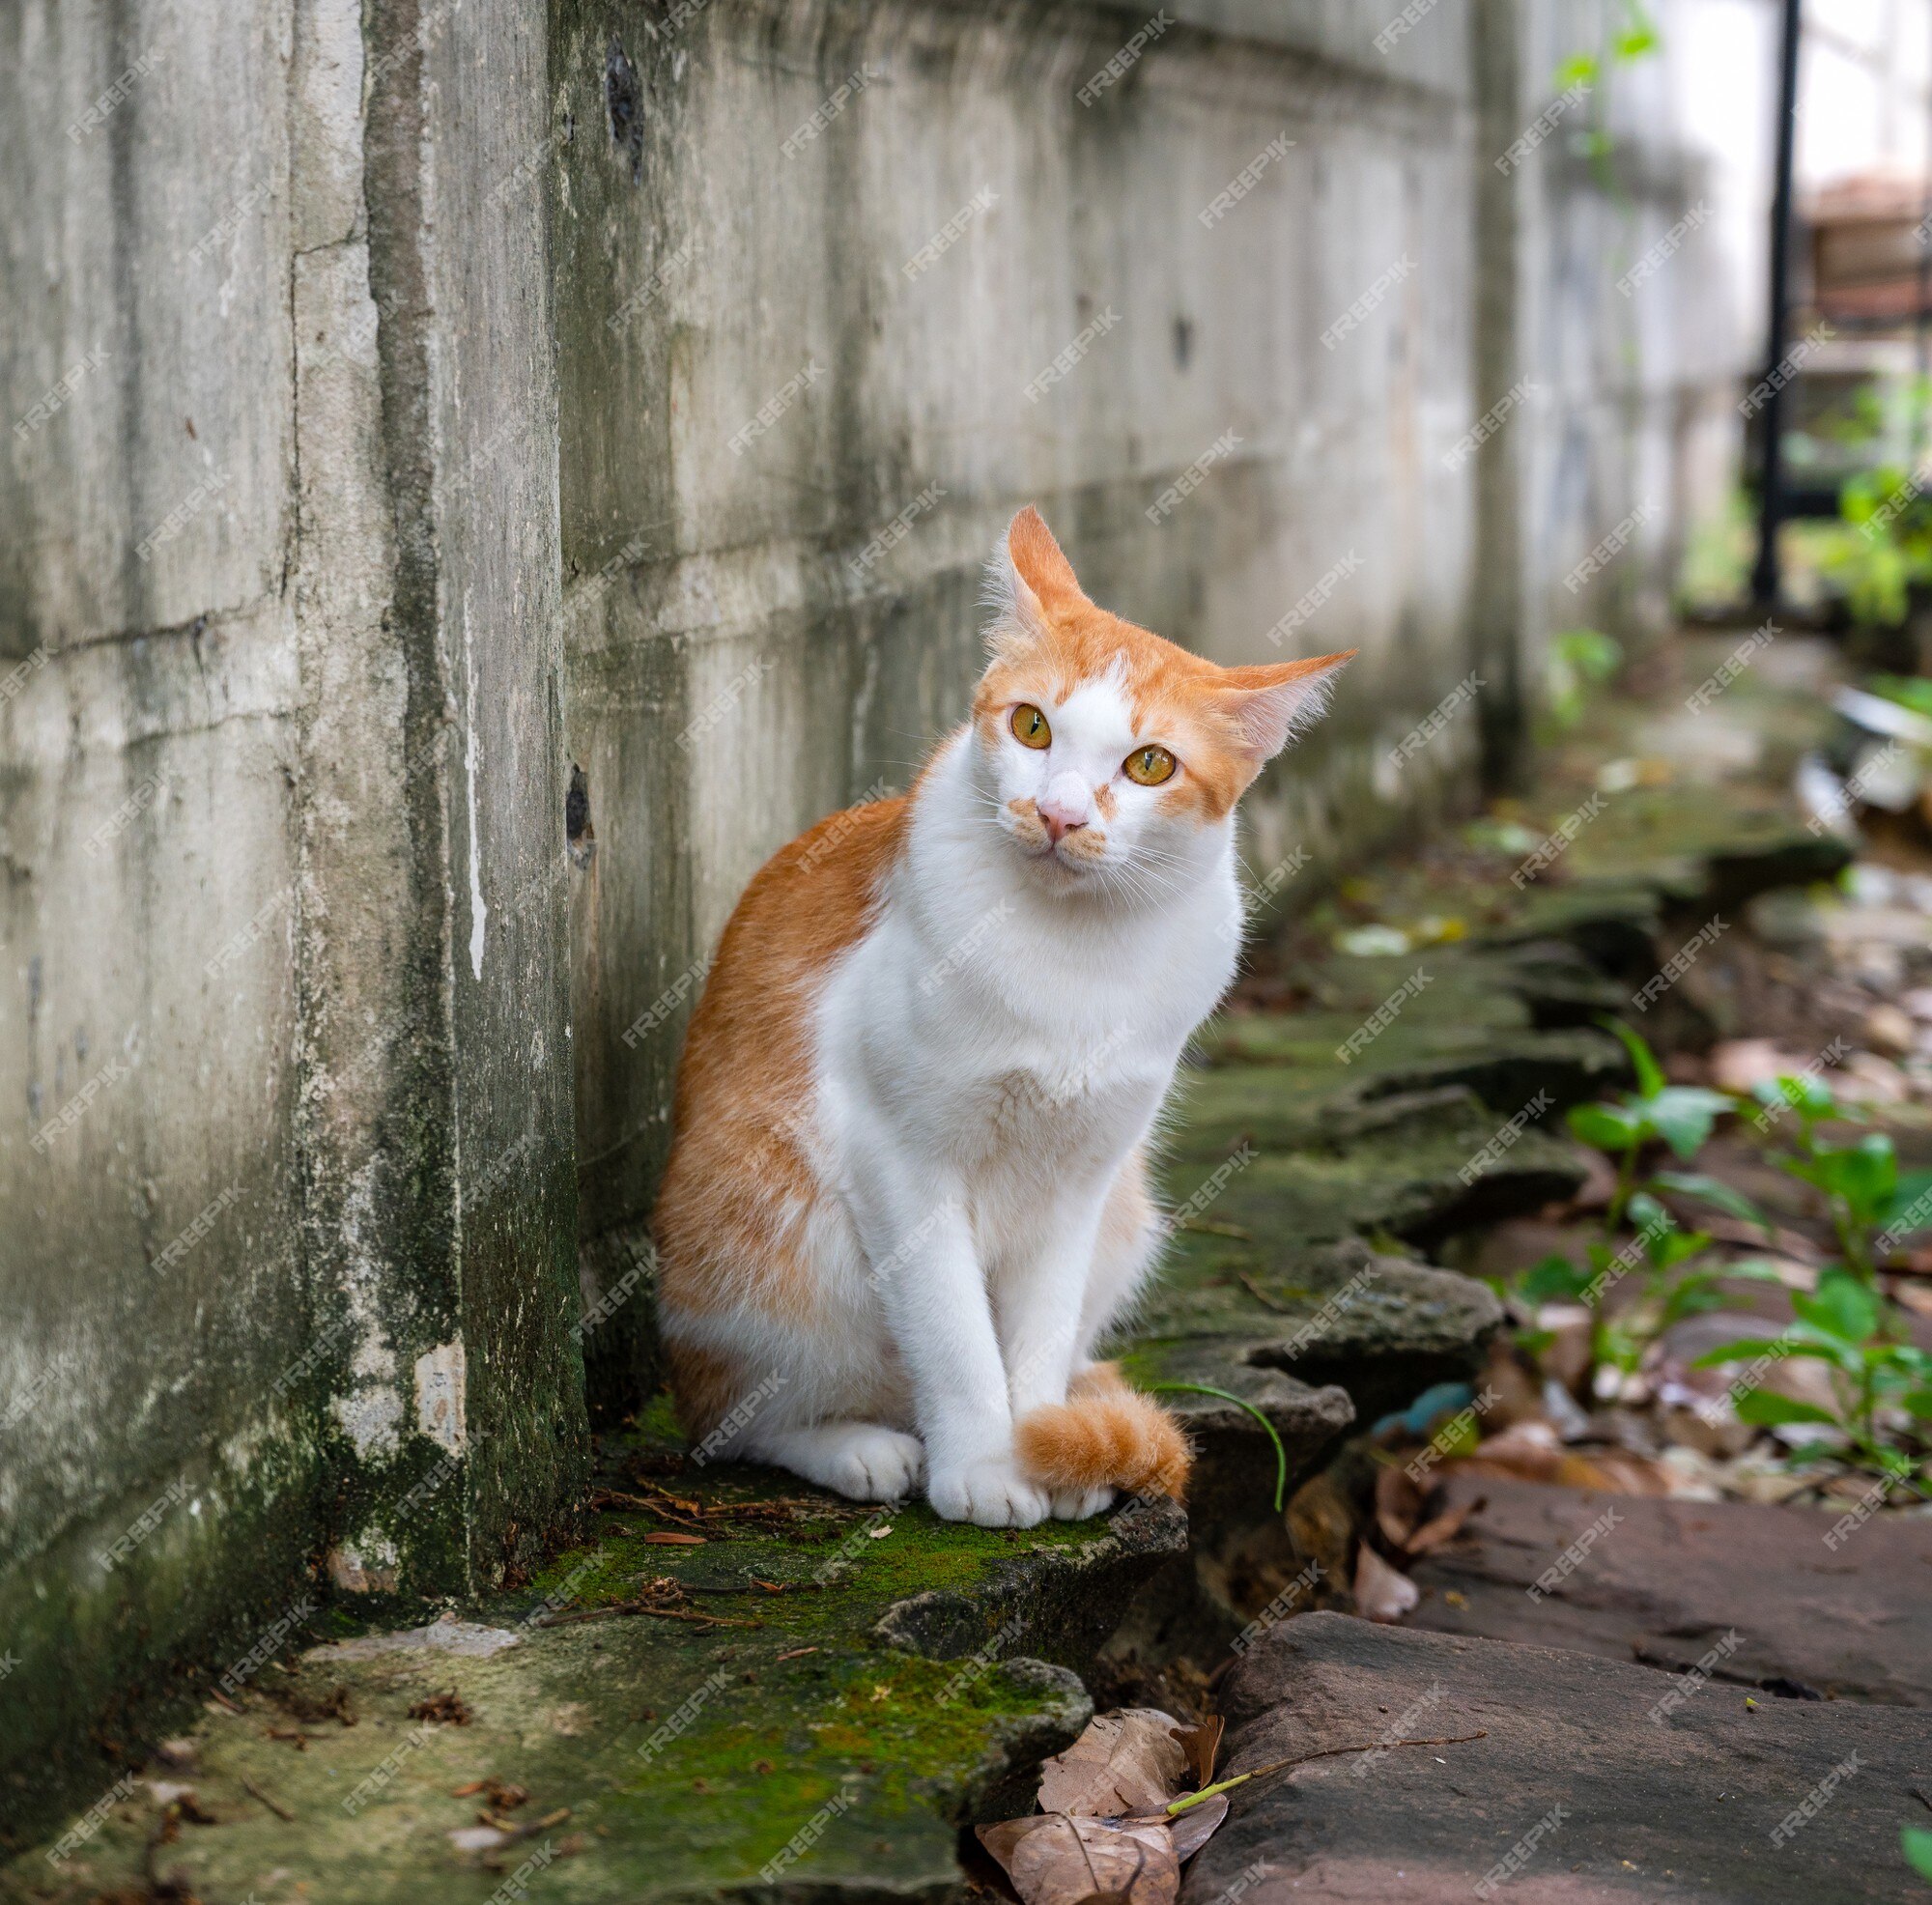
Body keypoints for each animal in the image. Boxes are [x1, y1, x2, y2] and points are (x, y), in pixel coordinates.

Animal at [657, 510, 1352, 1530]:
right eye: (1032, 726)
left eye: (1150, 764)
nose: (1059, 814)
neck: (1072, 954)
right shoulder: (901, 1160)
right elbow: (954, 1336)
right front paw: (987, 1465)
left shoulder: (1082, 1178)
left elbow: (1037, 1330)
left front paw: (1046, 1444)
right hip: (771, 1234)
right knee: (734, 1419)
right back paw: (858, 1446)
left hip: (1125, 1220)